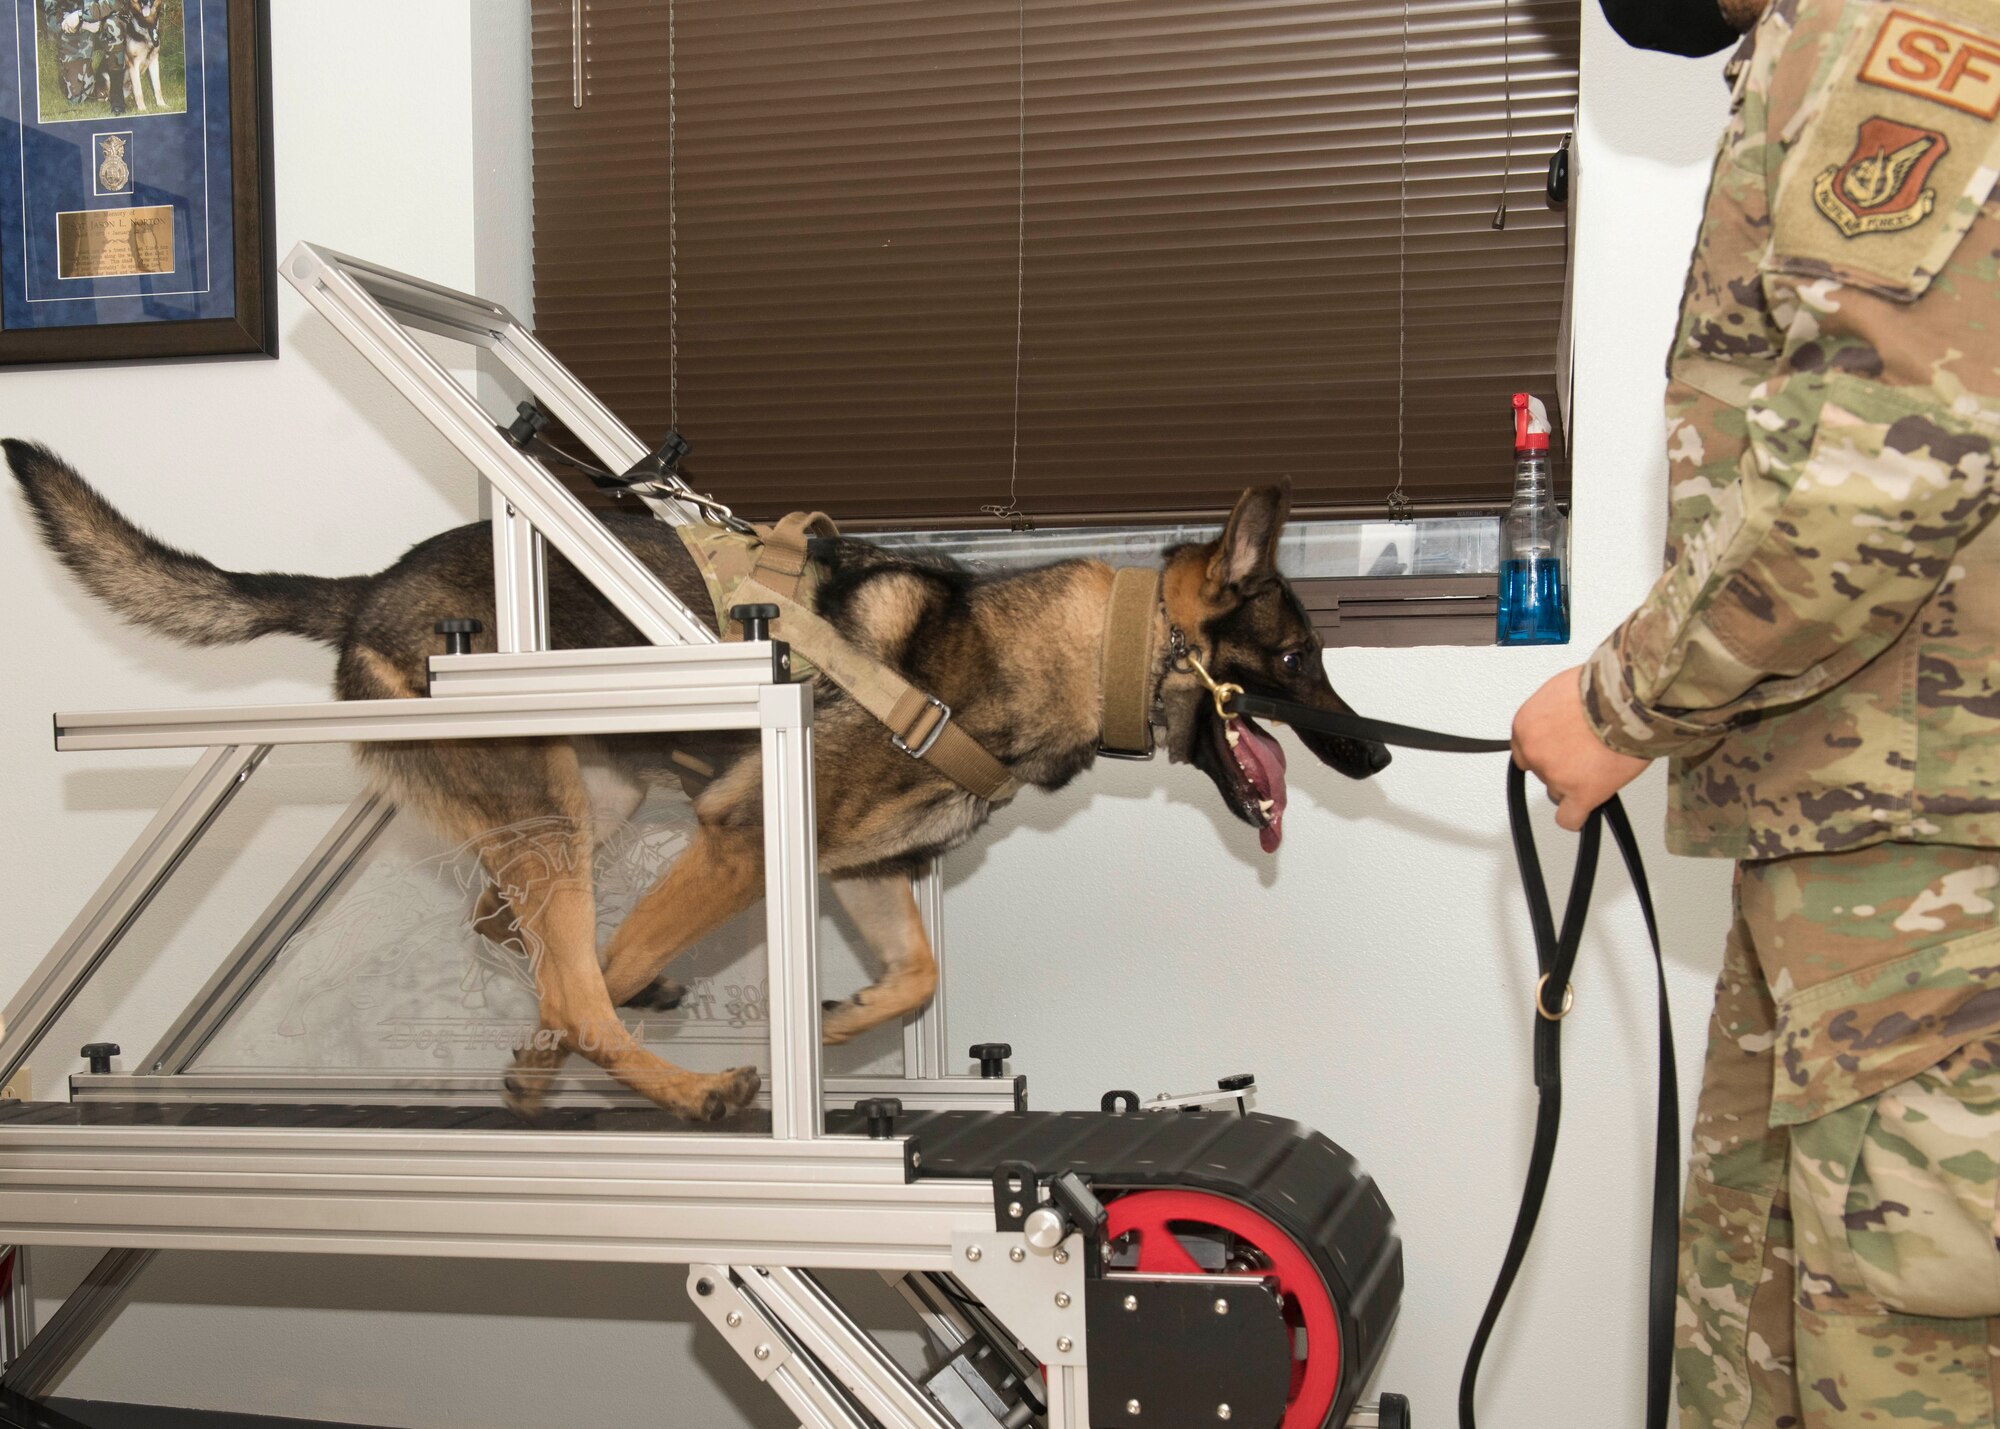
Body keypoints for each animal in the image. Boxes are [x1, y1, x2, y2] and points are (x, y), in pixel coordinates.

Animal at [11, 440, 1392, 1120]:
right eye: (1296, 659)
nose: (1377, 753)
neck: (1018, 654)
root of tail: (363, 592)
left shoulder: (864, 871)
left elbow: (911, 978)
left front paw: (831, 1023)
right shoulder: (741, 843)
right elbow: (597, 984)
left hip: (588, 804)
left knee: (508, 926)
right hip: (560, 813)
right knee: (571, 978)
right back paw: (674, 1081)